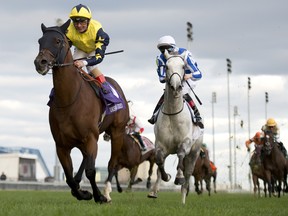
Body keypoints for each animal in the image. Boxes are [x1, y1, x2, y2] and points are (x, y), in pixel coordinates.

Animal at [33, 19, 129, 203]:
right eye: (40, 41)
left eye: (58, 41)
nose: (40, 62)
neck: (69, 100)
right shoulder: (61, 145)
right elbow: (69, 177)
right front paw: (83, 193)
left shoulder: (90, 137)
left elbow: (91, 171)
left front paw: (98, 196)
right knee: (85, 160)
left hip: (117, 132)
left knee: (112, 164)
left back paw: (107, 192)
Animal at [147, 49, 204, 205]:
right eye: (166, 67)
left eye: (184, 66)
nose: (176, 86)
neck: (173, 113)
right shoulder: (161, 145)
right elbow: (159, 161)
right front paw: (166, 177)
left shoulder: (186, 142)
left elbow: (180, 155)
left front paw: (178, 177)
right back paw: (154, 191)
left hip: (194, 153)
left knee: (188, 173)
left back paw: (183, 199)